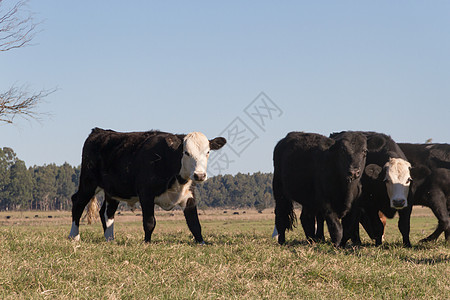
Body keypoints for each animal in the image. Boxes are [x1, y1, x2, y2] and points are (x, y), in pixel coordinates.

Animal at [67, 128, 225, 244]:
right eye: (186, 152)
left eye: (207, 152)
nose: (199, 175)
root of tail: (99, 131)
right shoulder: (146, 194)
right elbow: (149, 222)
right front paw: (147, 242)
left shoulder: (189, 196)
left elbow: (194, 224)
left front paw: (201, 242)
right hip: (88, 182)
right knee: (78, 202)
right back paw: (74, 236)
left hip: (112, 191)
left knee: (107, 212)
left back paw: (110, 239)